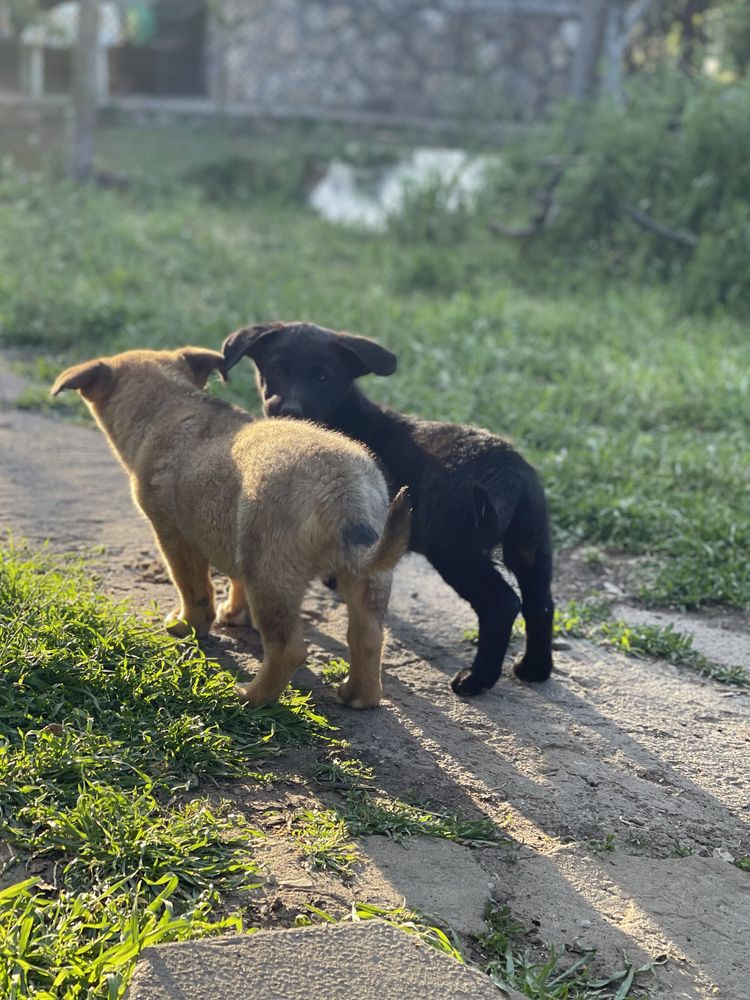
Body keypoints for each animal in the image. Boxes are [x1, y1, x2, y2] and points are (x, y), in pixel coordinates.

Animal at [51, 348, 412, 708]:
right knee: (368, 637)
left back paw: (250, 698)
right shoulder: (231, 535)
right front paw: (234, 613)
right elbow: (233, 582)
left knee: (288, 649)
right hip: (368, 578)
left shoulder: (174, 537)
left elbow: (194, 589)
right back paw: (359, 695)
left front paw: (188, 626)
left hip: (269, 574)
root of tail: (344, 487)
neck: (170, 404)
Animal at [220, 322, 556, 696]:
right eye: (277, 369)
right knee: (541, 604)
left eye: (323, 377)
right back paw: (534, 668)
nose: (289, 410)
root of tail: (507, 471)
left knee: (502, 604)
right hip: (530, 545)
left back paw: (476, 679)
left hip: (455, 550)